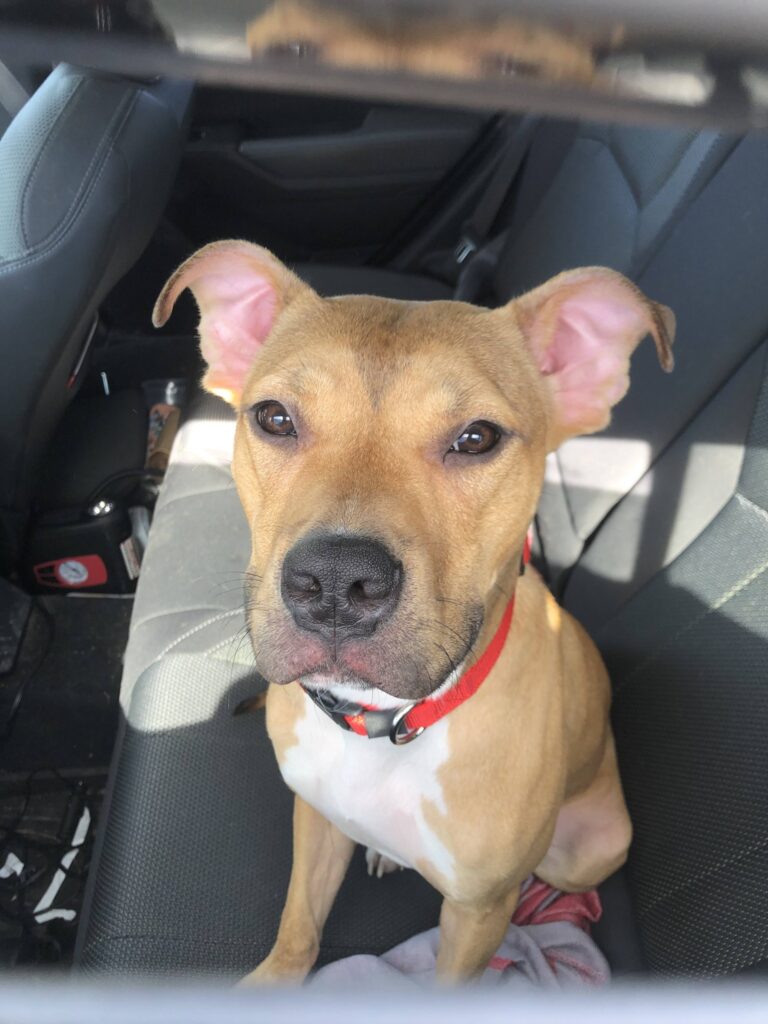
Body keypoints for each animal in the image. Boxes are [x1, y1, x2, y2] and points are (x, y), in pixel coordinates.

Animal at [153, 242, 674, 982]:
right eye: (274, 418)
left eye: (478, 438)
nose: (335, 581)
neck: (386, 723)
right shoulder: (315, 819)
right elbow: (298, 928)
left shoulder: (477, 916)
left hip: (592, 848)